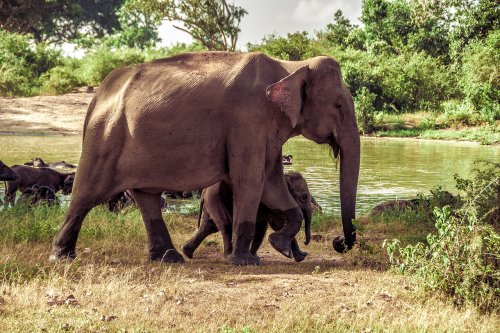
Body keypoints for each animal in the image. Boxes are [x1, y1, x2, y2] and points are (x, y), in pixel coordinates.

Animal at [182, 171, 310, 262]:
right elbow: (276, 224)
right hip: (215, 199)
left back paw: (187, 253)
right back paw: (228, 255)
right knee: (225, 224)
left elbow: (264, 226)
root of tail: (204, 191)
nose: (305, 243)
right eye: (304, 197)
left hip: (212, 202)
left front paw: (301, 257)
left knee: (209, 226)